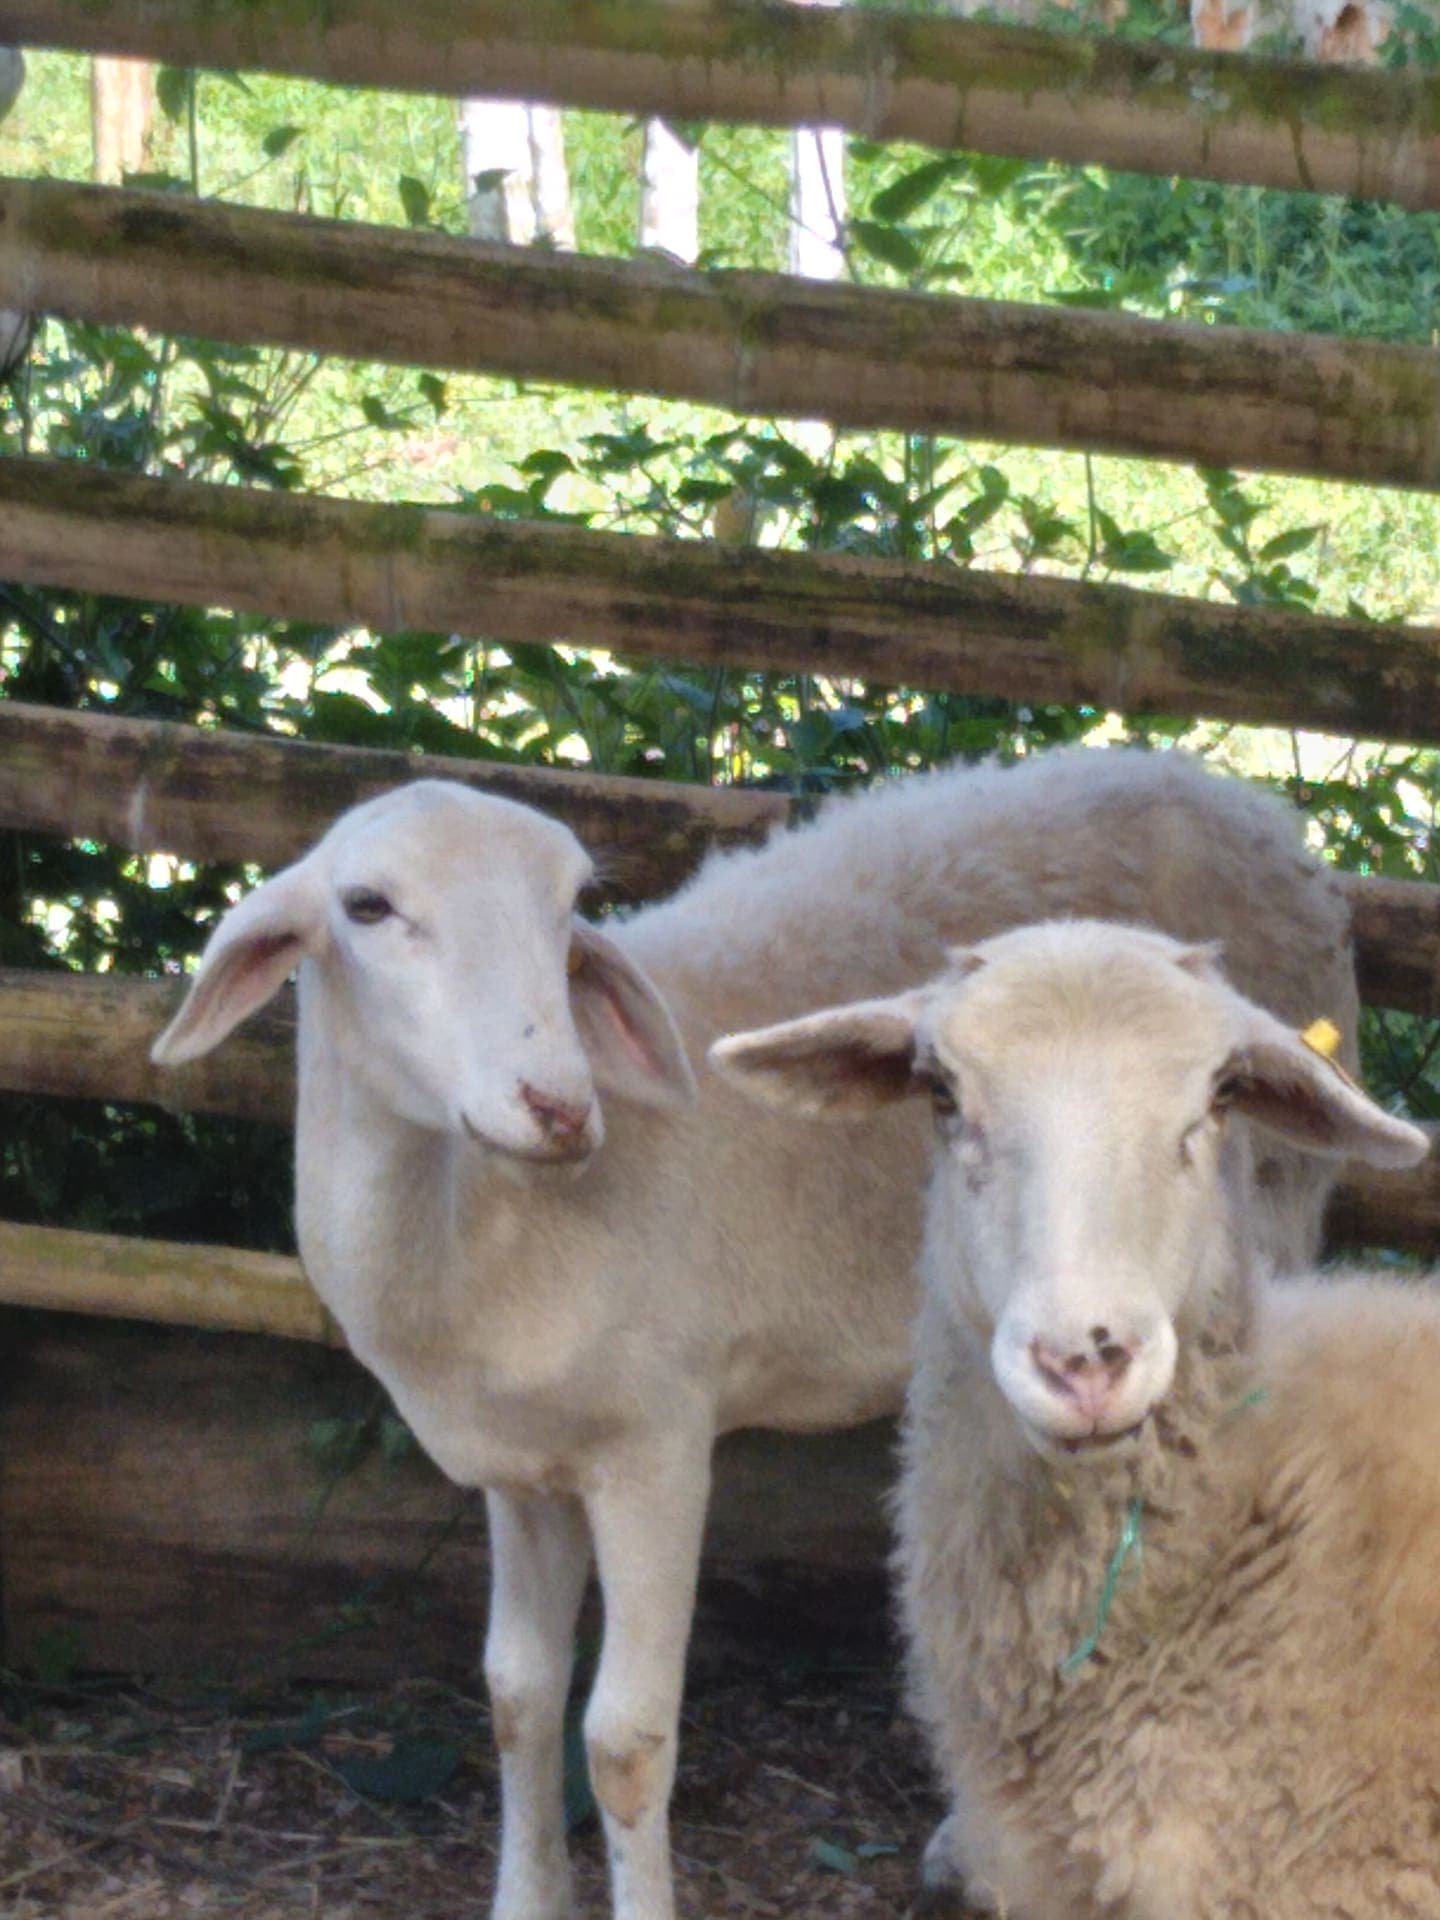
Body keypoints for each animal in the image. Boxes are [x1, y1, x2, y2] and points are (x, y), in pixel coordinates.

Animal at [150, 748, 1357, 1920]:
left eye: (570, 906)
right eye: (366, 906)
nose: (561, 1106)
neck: (479, 1224)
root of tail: (1259, 813)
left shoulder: (657, 1445)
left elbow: (624, 1740)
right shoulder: (520, 1467)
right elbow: (517, 1697)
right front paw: (525, 1899)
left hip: (1260, 1228)